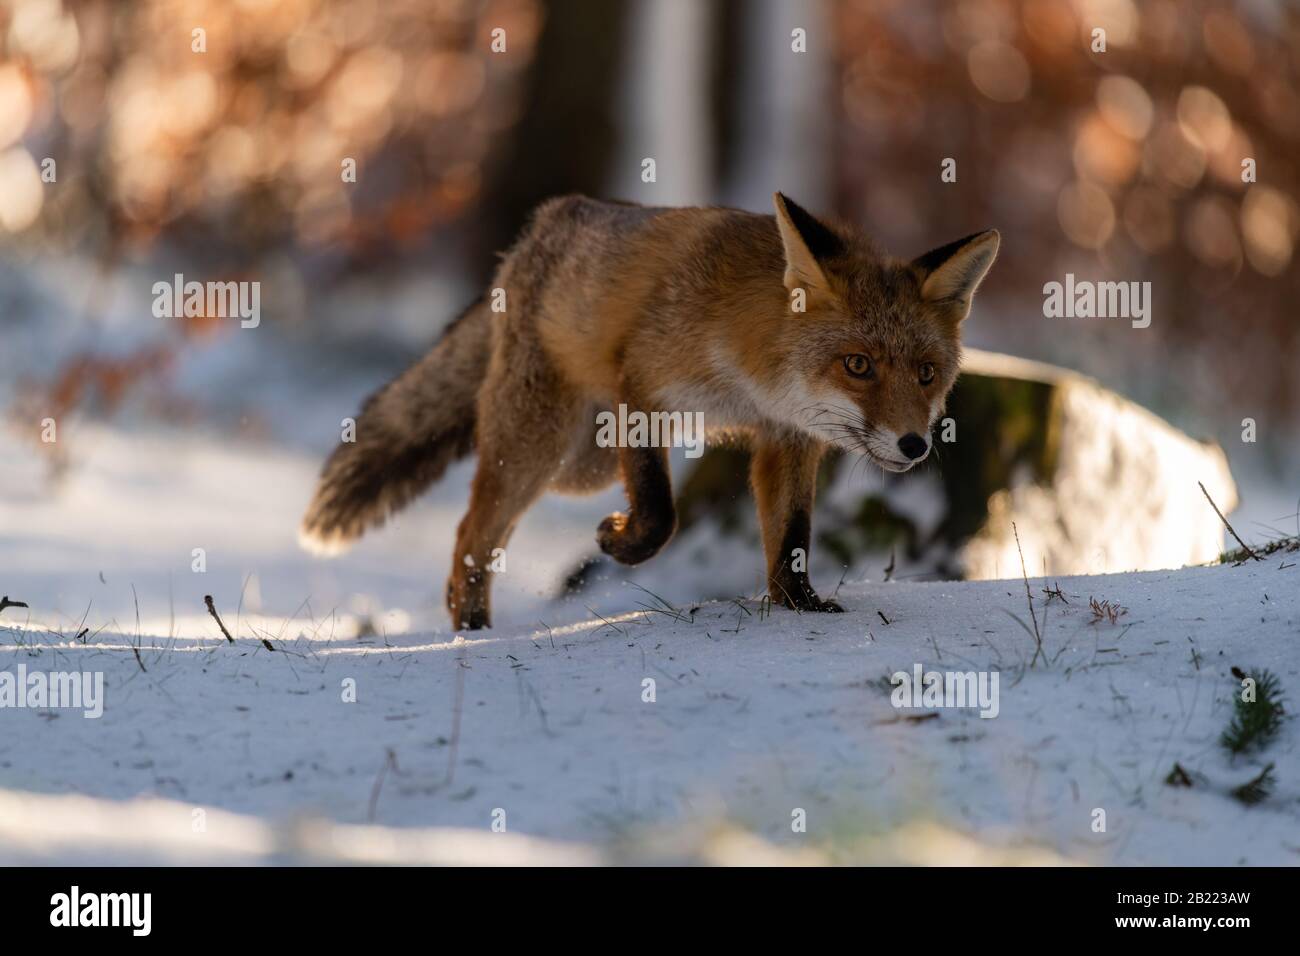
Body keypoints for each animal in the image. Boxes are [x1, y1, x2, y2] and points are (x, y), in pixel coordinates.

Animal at [301, 193, 993, 629]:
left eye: (927, 374)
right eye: (858, 365)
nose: (914, 445)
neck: (750, 376)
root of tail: (538, 229)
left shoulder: (788, 437)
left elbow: (792, 537)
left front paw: (799, 606)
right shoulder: (642, 389)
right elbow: (660, 510)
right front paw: (624, 540)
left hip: (582, 464)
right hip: (542, 444)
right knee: (474, 530)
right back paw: (471, 626)